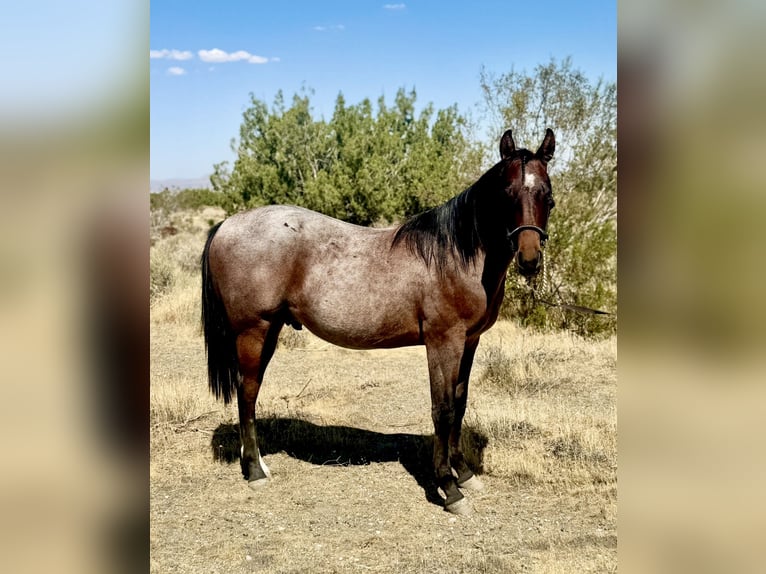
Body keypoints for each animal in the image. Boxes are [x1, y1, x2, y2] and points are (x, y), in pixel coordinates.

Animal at [201, 128, 555, 514]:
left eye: (547, 195)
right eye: (506, 193)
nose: (529, 258)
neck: (454, 255)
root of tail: (226, 225)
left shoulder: (470, 341)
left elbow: (459, 405)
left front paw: (464, 475)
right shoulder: (443, 341)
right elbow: (443, 410)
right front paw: (449, 488)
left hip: (269, 330)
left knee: (249, 390)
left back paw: (259, 464)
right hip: (253, 330)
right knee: (247, 391)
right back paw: (255, 472)